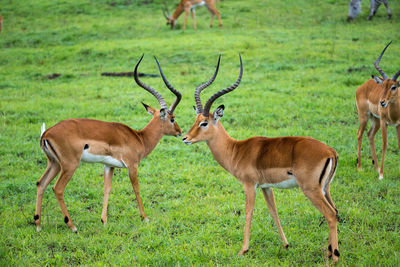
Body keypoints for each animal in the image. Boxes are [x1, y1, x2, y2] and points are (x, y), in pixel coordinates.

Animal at [35, 55, 182, 233]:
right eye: (172, 118)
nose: (180, 131)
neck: (139, 138)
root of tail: (47, 133)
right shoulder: (132, 165)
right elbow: (136, 188)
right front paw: (145, 218)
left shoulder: (108, 166)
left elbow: (107, 189)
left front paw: (103, 220)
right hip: (69, 165)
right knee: (57, 188)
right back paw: (72, 226)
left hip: (54, 163)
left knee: (41, 184)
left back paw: (38, 225)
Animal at [183, 55, 340, 262]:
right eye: (195, 120)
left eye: (204, 123)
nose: (185, 138)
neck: (237, 150)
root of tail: (330, 151)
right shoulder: (266, 187)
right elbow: (274, 212)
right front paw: (286, 245)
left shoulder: (250, 185)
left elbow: (248, 213)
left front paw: (243, 250)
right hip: (325, 188)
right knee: (336, 212)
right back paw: (330, 252)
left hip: (311, 189)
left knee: (330, 215)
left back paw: (333, 259)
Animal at [356, 41, 400, 180]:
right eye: (382, 86)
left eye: (394, 87)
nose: (382, 102)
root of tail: (363, 85)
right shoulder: (384, 122)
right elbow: (385, 144)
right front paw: (381, 175)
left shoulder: (398, 125)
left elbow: (399, 144)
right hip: (364, 117)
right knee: (359, 134)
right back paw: (360, 167)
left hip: (375, 120)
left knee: (370, 135)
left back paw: (376, 168)